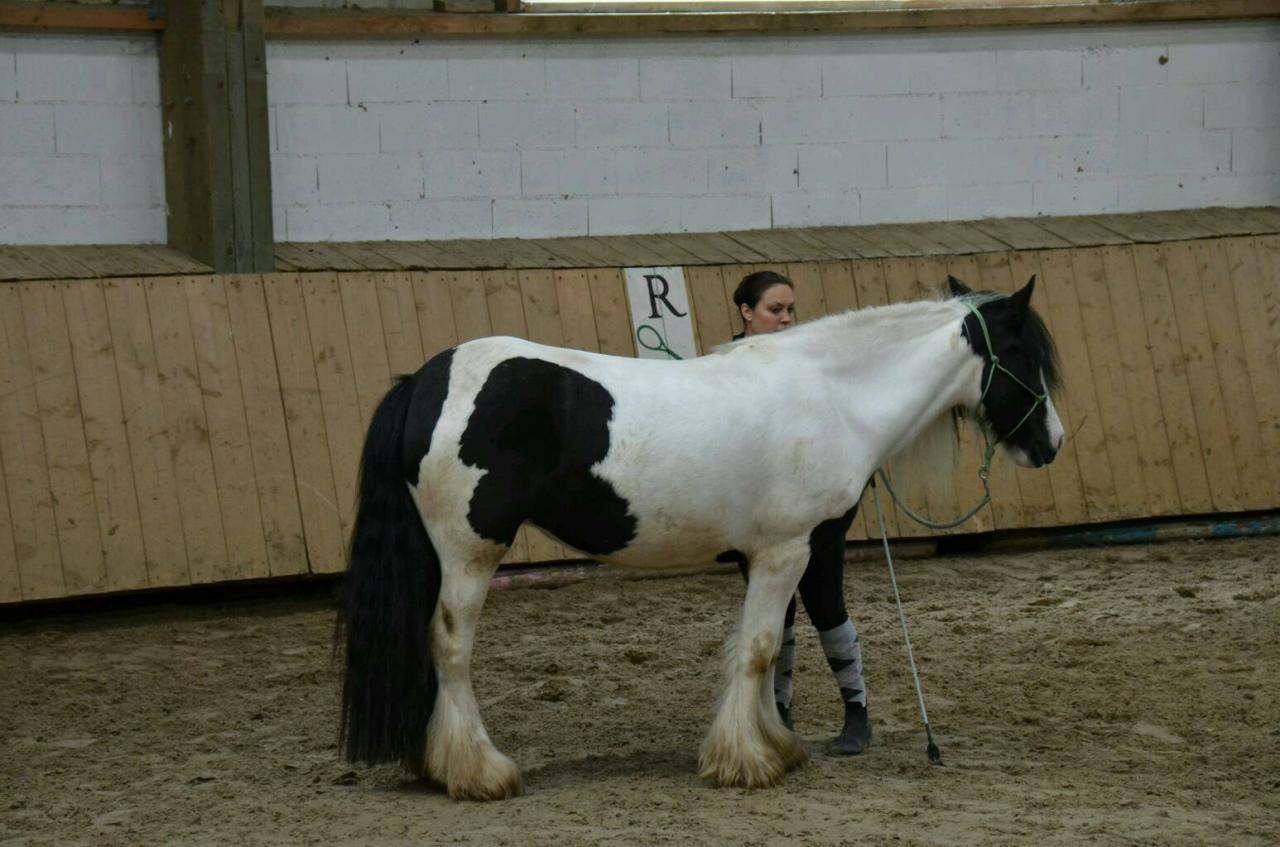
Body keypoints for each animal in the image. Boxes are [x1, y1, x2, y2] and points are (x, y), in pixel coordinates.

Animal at [335, 273, 1064, 803]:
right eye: (1024, 354)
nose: (1052, 444)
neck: (831, 394)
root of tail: (424, 381)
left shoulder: (769, 556)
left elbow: (767, 647)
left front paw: (775, 743)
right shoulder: (789, 550)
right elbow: (761, 649)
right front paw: (746, 761)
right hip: (470, 553)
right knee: (450, 649)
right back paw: (480, 772)